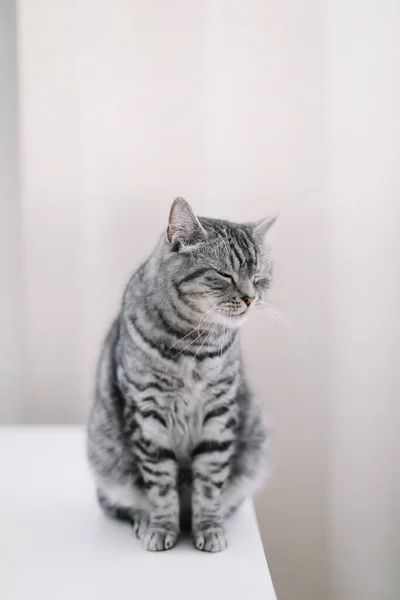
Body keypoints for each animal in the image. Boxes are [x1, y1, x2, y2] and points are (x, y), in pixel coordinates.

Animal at [86, 198, 276, 552]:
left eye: (259, 277)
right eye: (224, 274)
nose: (249, 298)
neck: (194, 348)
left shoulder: (219, 410)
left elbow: (209, 485)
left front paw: (209, 528)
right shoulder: (147, 412)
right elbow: (161, 486)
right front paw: (162, 527)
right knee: (128, 502)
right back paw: (145, 520)